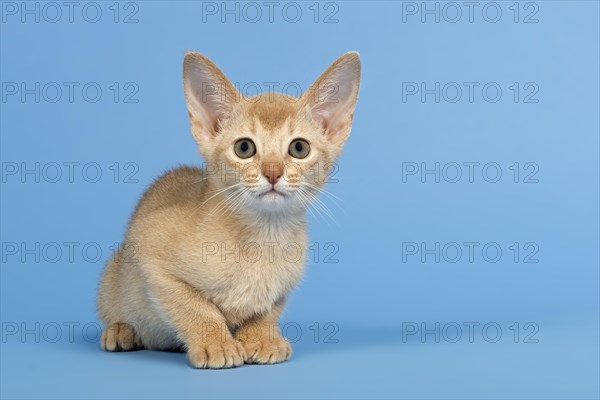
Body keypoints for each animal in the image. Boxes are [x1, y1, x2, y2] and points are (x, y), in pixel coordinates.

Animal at [97, 50, 360, 368]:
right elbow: (196, 307)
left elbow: (267, 311)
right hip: (114, 274)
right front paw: (216, 343)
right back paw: (121, 330)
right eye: (244, 148)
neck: (263, 238)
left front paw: (261, 337)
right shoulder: (148, 249)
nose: (273, 172)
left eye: (299, 148)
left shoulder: (283, 287)